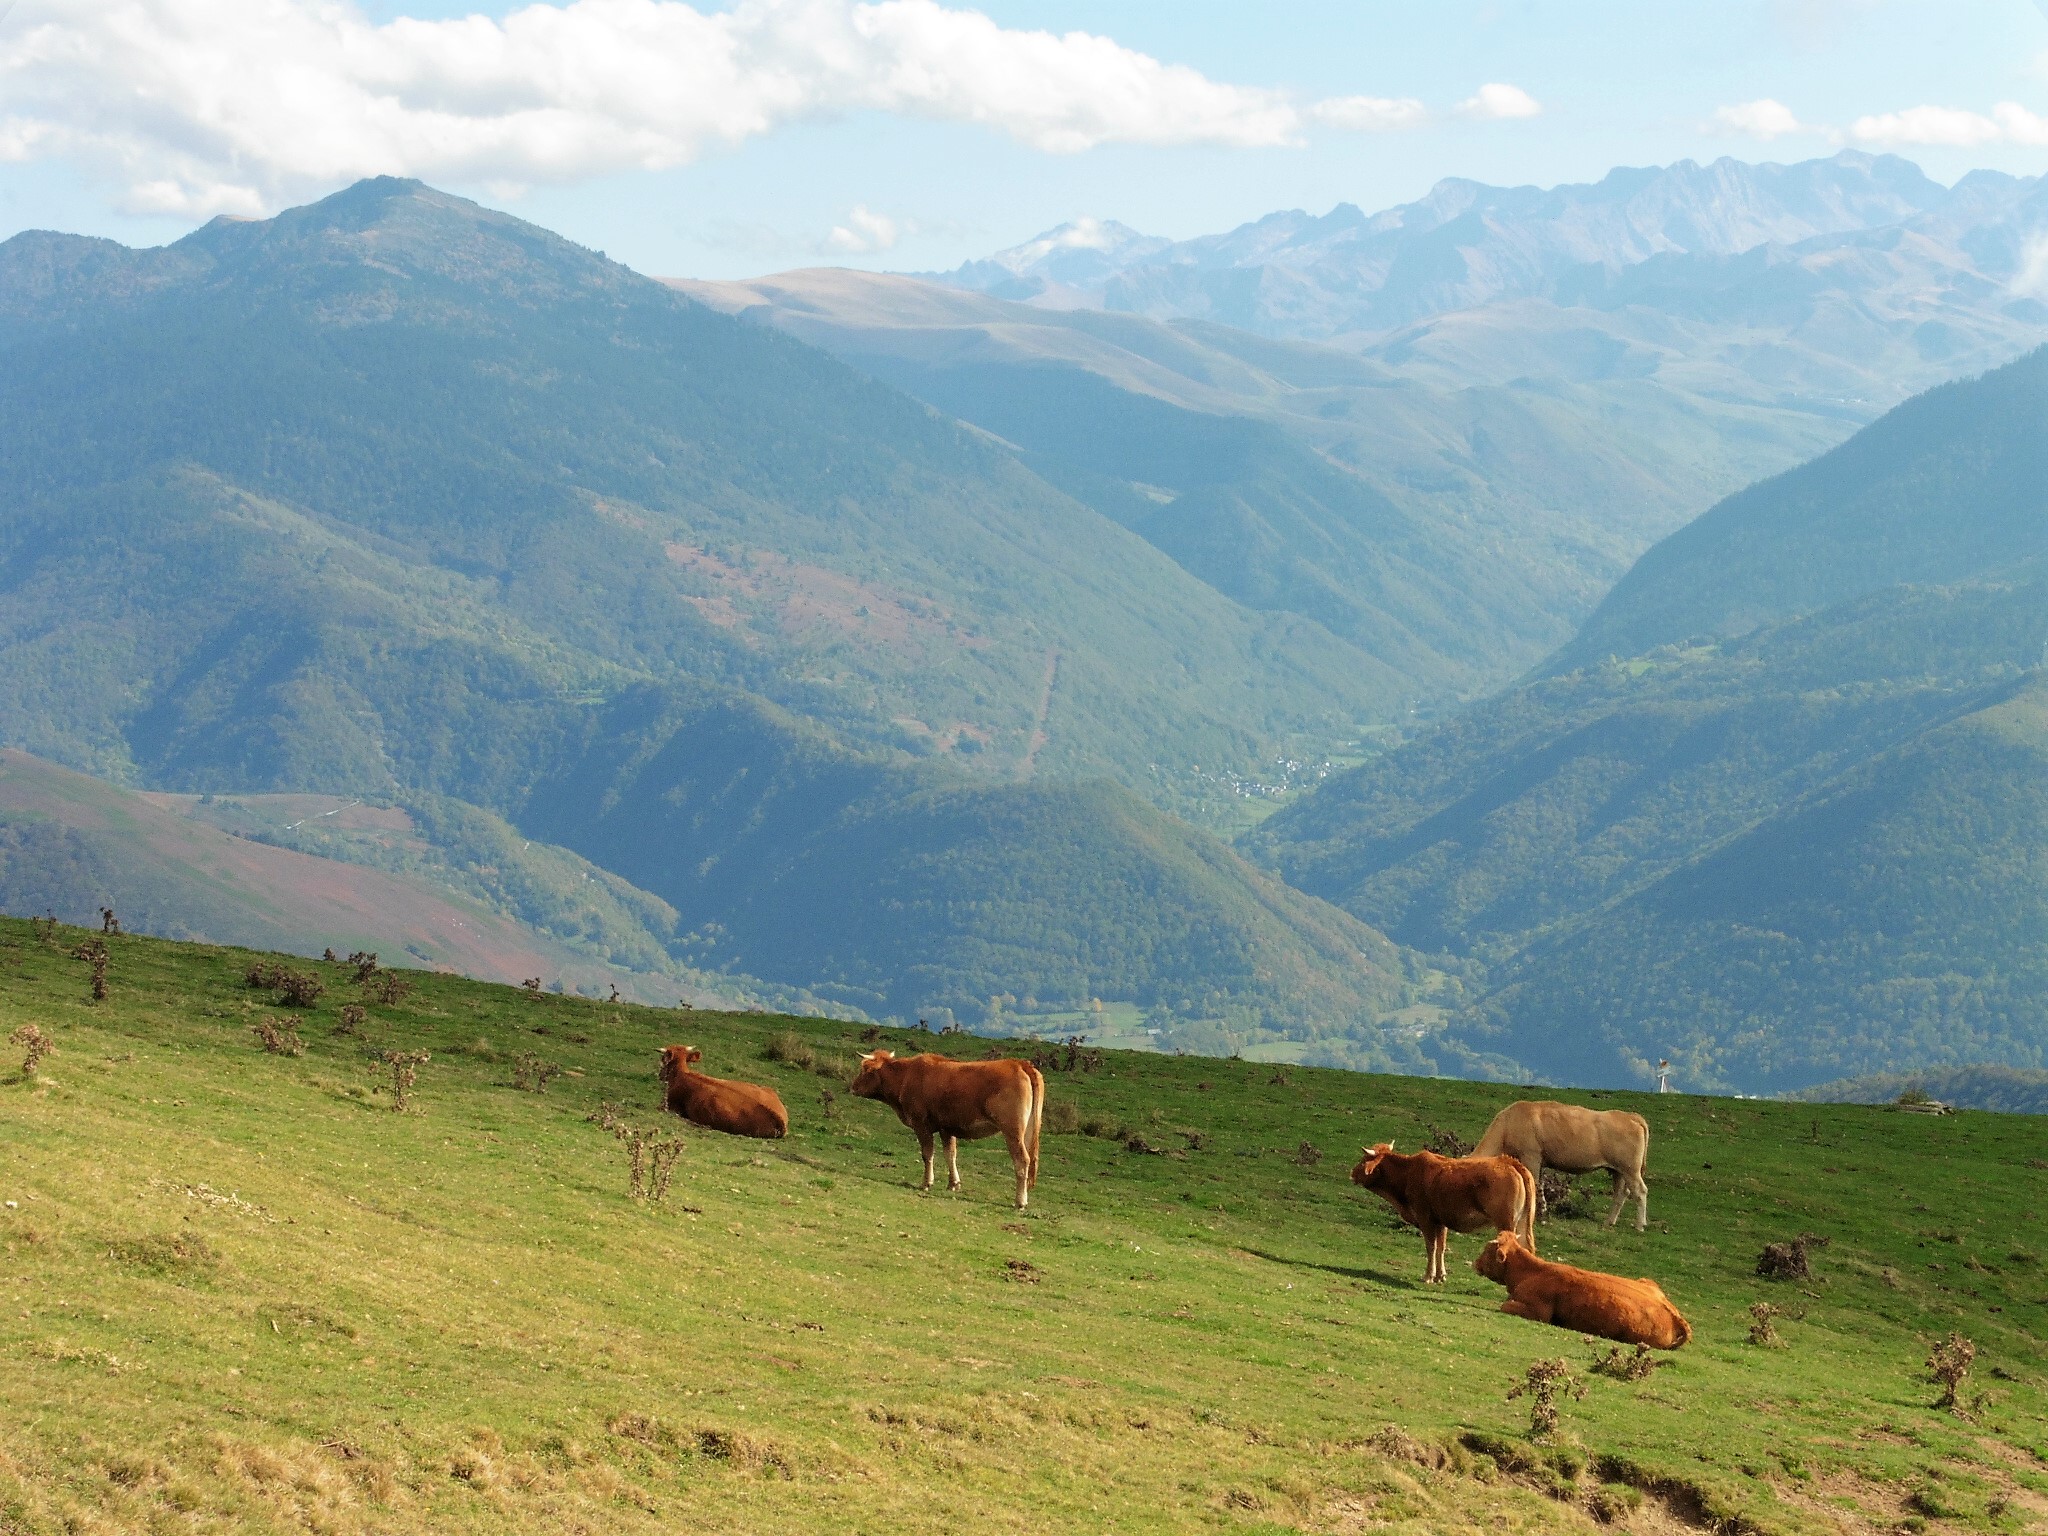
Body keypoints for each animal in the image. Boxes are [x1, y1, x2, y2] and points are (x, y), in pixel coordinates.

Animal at [848, 1050, 1044, 1208]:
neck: (906, 1076)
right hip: (1028, 1131)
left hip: (1012, 1131)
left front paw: (926, 1183)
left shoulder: (921, 1124)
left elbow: (927, 1154)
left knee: (1022, 1160)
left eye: (865, 1069)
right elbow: (950, 1154)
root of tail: (1019, 1063)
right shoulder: (946, 1128)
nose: (853, 1087)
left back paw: (1020, 1201)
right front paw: (953, 1183)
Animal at [1350, 1142, 1536, 1284]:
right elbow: (1441, 1247)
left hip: (1506, 1222)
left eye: (1363, 1159)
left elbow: (1431, 1247)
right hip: (1522, 1222)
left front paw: (1428, 1276)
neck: (1408, 1172)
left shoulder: (1425, 1218)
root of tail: (1509, 1162)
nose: (1352, 1174)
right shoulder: (1441, 1221)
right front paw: (1440, 1276)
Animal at [1473, 1100, 1652, 1230]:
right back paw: (1609, 1222)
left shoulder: (1531, 1156)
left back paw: (1639, 1225)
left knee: (1640, 1191)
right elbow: (1540, 1186)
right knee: (1621, 1193)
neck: (1508, 1124)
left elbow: (1533, 1185)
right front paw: (1542, 1212)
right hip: (1618, 1170)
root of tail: (1630, 1116)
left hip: (1630, 1169)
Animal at [1474, 1232, 1692, 1349]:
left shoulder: (1538, 1312)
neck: (1532, 1271)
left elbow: (1505, 1306)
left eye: (1486, 1249)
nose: (1475, 1263)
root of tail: (1674, 1316)